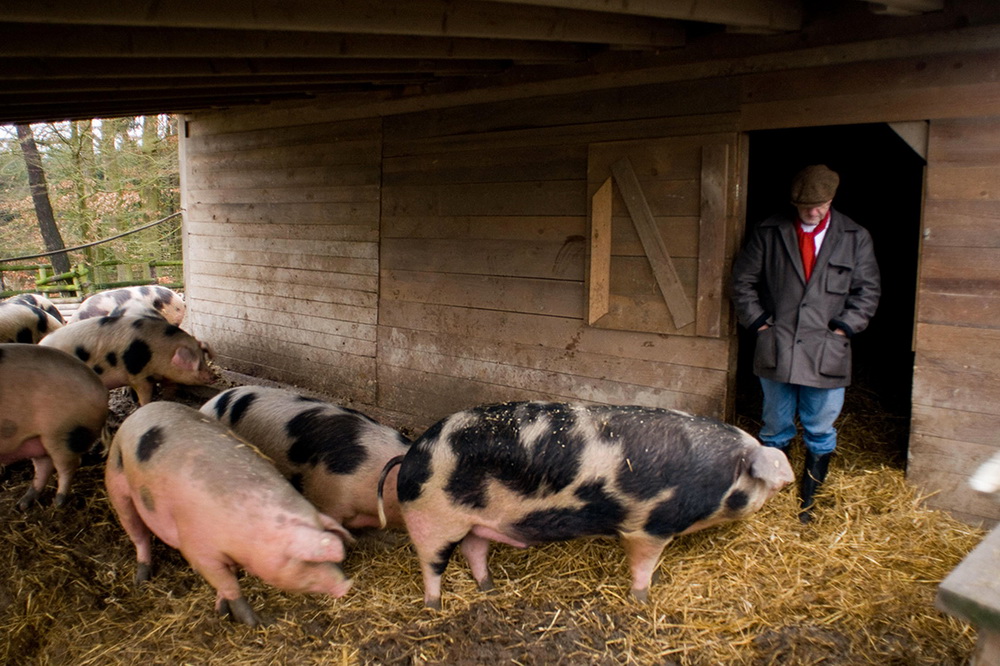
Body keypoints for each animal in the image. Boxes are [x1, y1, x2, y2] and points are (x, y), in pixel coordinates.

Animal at [0, 340, 108, 506]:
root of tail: (102, 388)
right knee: (43, 466)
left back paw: (58, 502)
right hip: (40, 437)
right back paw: (23, 504)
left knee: (68, 465)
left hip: (64, 432)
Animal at [38, 312, 215, 402]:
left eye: (203, 357)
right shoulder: (138, 375)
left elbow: (169, 388)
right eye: (197, 362)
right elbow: (144, 394)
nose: (212, 376)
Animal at [105, 400, 354, 628]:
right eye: (306, 561)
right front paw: (254, 623)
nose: (347, 585)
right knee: (138, 533)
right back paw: (140, 580)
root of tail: (144, 409)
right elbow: (229, 584)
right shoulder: (198, 550)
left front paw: (222, 612)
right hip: (117, 480)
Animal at [378, 400, 792, 608]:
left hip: (479, 520)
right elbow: (642, 563)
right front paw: (642, 599)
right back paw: (434, 605)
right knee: (432, 565)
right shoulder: (647, 526)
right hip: (430, 521)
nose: (785, 480)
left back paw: (489, 589)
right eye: (759, 482)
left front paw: (655, 583)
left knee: (475, 549)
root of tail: (412, 453)